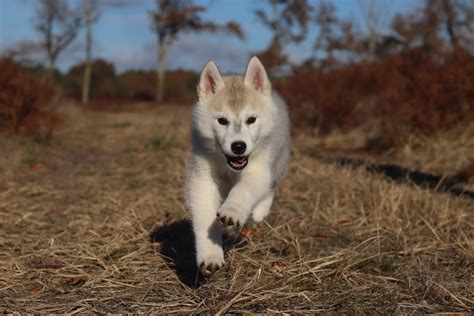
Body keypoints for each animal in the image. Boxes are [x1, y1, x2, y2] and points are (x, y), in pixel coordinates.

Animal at [184, 57, 288, 276]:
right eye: (222, 121)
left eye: (251, 119)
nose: (238, 146)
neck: (229, 168)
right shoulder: (201, 180)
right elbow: (205, 218)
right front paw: (211, 255)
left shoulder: (258, 171)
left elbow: (243, 191)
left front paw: (232, 211)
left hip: (278, 160)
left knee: (270, 186)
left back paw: (260, 211)